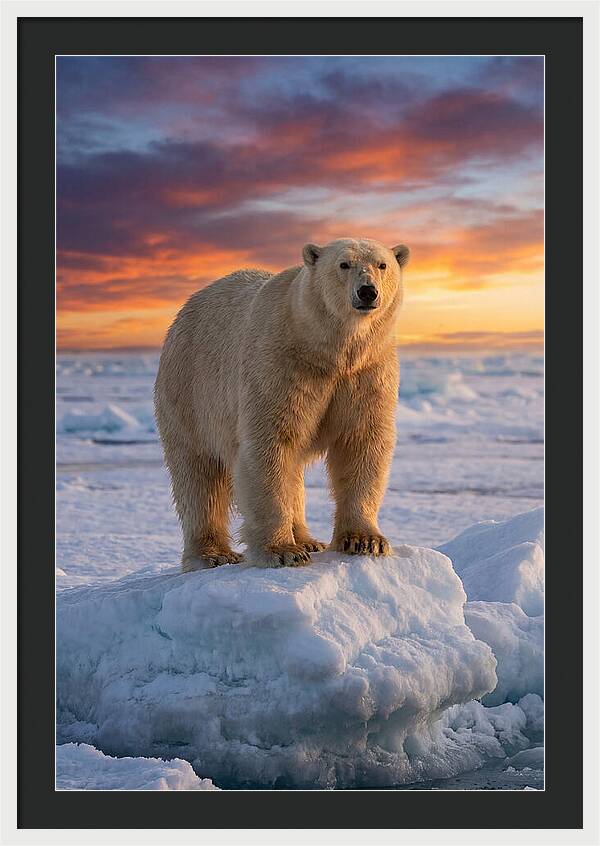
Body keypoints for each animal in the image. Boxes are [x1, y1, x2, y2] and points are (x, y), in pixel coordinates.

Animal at [154, 237, 409, 571]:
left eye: (382, 265)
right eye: (344, 264)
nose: (367, 291)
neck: (327, 350)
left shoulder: (367, 372)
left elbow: (361, 442)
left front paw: (366, 540)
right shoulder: (280, 364)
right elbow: (269, 444)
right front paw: (283, 551)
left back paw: (308, 539)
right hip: (189, 391)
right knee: (199, 475)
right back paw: (213, 554)